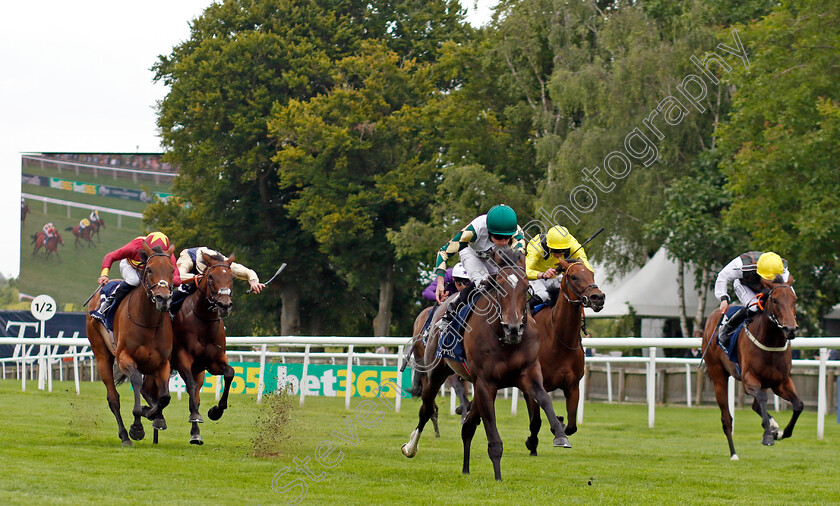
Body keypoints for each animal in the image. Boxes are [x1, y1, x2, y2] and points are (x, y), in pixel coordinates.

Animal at [86, 243, 176, 444]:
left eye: (172, 270)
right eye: (149, 269)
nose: (163, 299)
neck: (148, 322)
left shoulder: (162, 362)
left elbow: (164, 397)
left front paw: (154, 415)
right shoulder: (124, 357)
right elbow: (135, 380)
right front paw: (137, 427)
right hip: (102, 356)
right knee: (113, 398)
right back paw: (125, 436)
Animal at [171, 251, 235, 444]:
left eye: (231, 277)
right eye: (211, 277)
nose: (224, 304)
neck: (203, 321)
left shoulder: (213, 362)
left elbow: (229, 373)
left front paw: (215, 411)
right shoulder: (182, 357)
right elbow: (190, 386)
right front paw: (196, 415)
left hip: (198, 371)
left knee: (196, 395)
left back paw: (195, 434)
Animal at [402, 247, 572, 480]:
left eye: (526, 287)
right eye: (499, 287)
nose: (513, 328)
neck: (504, 339)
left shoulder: (529, 372)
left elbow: (544, 398)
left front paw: (560, 434)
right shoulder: (486, 382)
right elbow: (492, 430)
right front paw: (498, 475)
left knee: (467, 426)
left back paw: (465, 468)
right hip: (436, 372)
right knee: (427, 409)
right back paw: (411, 447)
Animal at [524, 256, 604, 454]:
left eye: (592, 273)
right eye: (573, 277)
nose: (598, 297)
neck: (559, 340)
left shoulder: (573, 386)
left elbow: (572, 425)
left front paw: (559, 425)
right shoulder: (536, 384)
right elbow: (536, 421)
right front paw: (532, 442)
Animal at [704, 274, 800, 460]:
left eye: (794, 300)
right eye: (775, 300)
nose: (790, 329)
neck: (770, 341)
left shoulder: (781, 382)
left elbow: (799, 405)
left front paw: (782, 432)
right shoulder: (750, 379)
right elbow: (762, 399)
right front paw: (768, 436)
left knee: (755, 406)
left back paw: (774, 427)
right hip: (717, 374)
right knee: (727, 419)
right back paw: (734, 453)